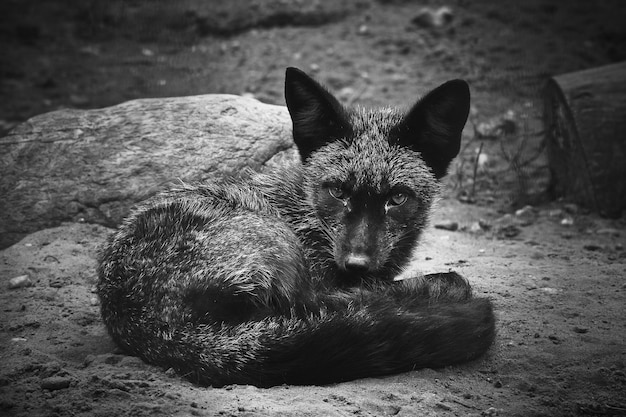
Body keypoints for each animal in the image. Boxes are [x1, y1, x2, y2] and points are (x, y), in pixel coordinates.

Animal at [96, 66, 492, 386]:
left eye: (396, 198)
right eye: (337, 191)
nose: (356, 264)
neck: (304, 215)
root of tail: (149, 325)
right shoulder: (323, 275)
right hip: (277, 245)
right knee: (313, 307)